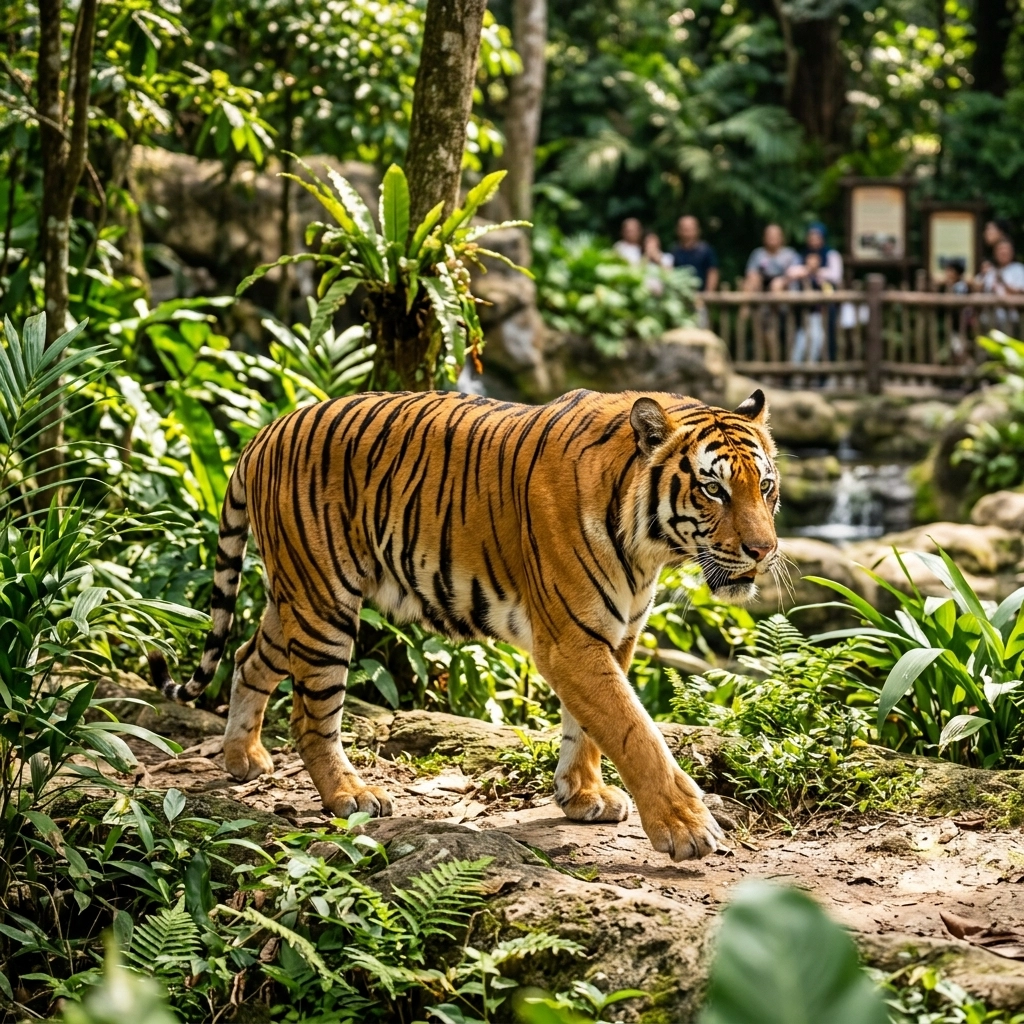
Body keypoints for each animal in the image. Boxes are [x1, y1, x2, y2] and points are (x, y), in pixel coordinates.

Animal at [149, 387, 780, 861]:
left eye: (766, 487)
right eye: (714, 488)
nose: (764, 550)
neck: (649, 546)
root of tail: (266, 430)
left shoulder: (614, 634)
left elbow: (589, 728)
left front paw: (582, 797)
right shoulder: (571, 640)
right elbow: (634, 730)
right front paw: (686, 827)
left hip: (296, 602)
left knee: (246, 657)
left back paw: (242, 759)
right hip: (324, 604)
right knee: (311, 715)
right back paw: (350, 794)